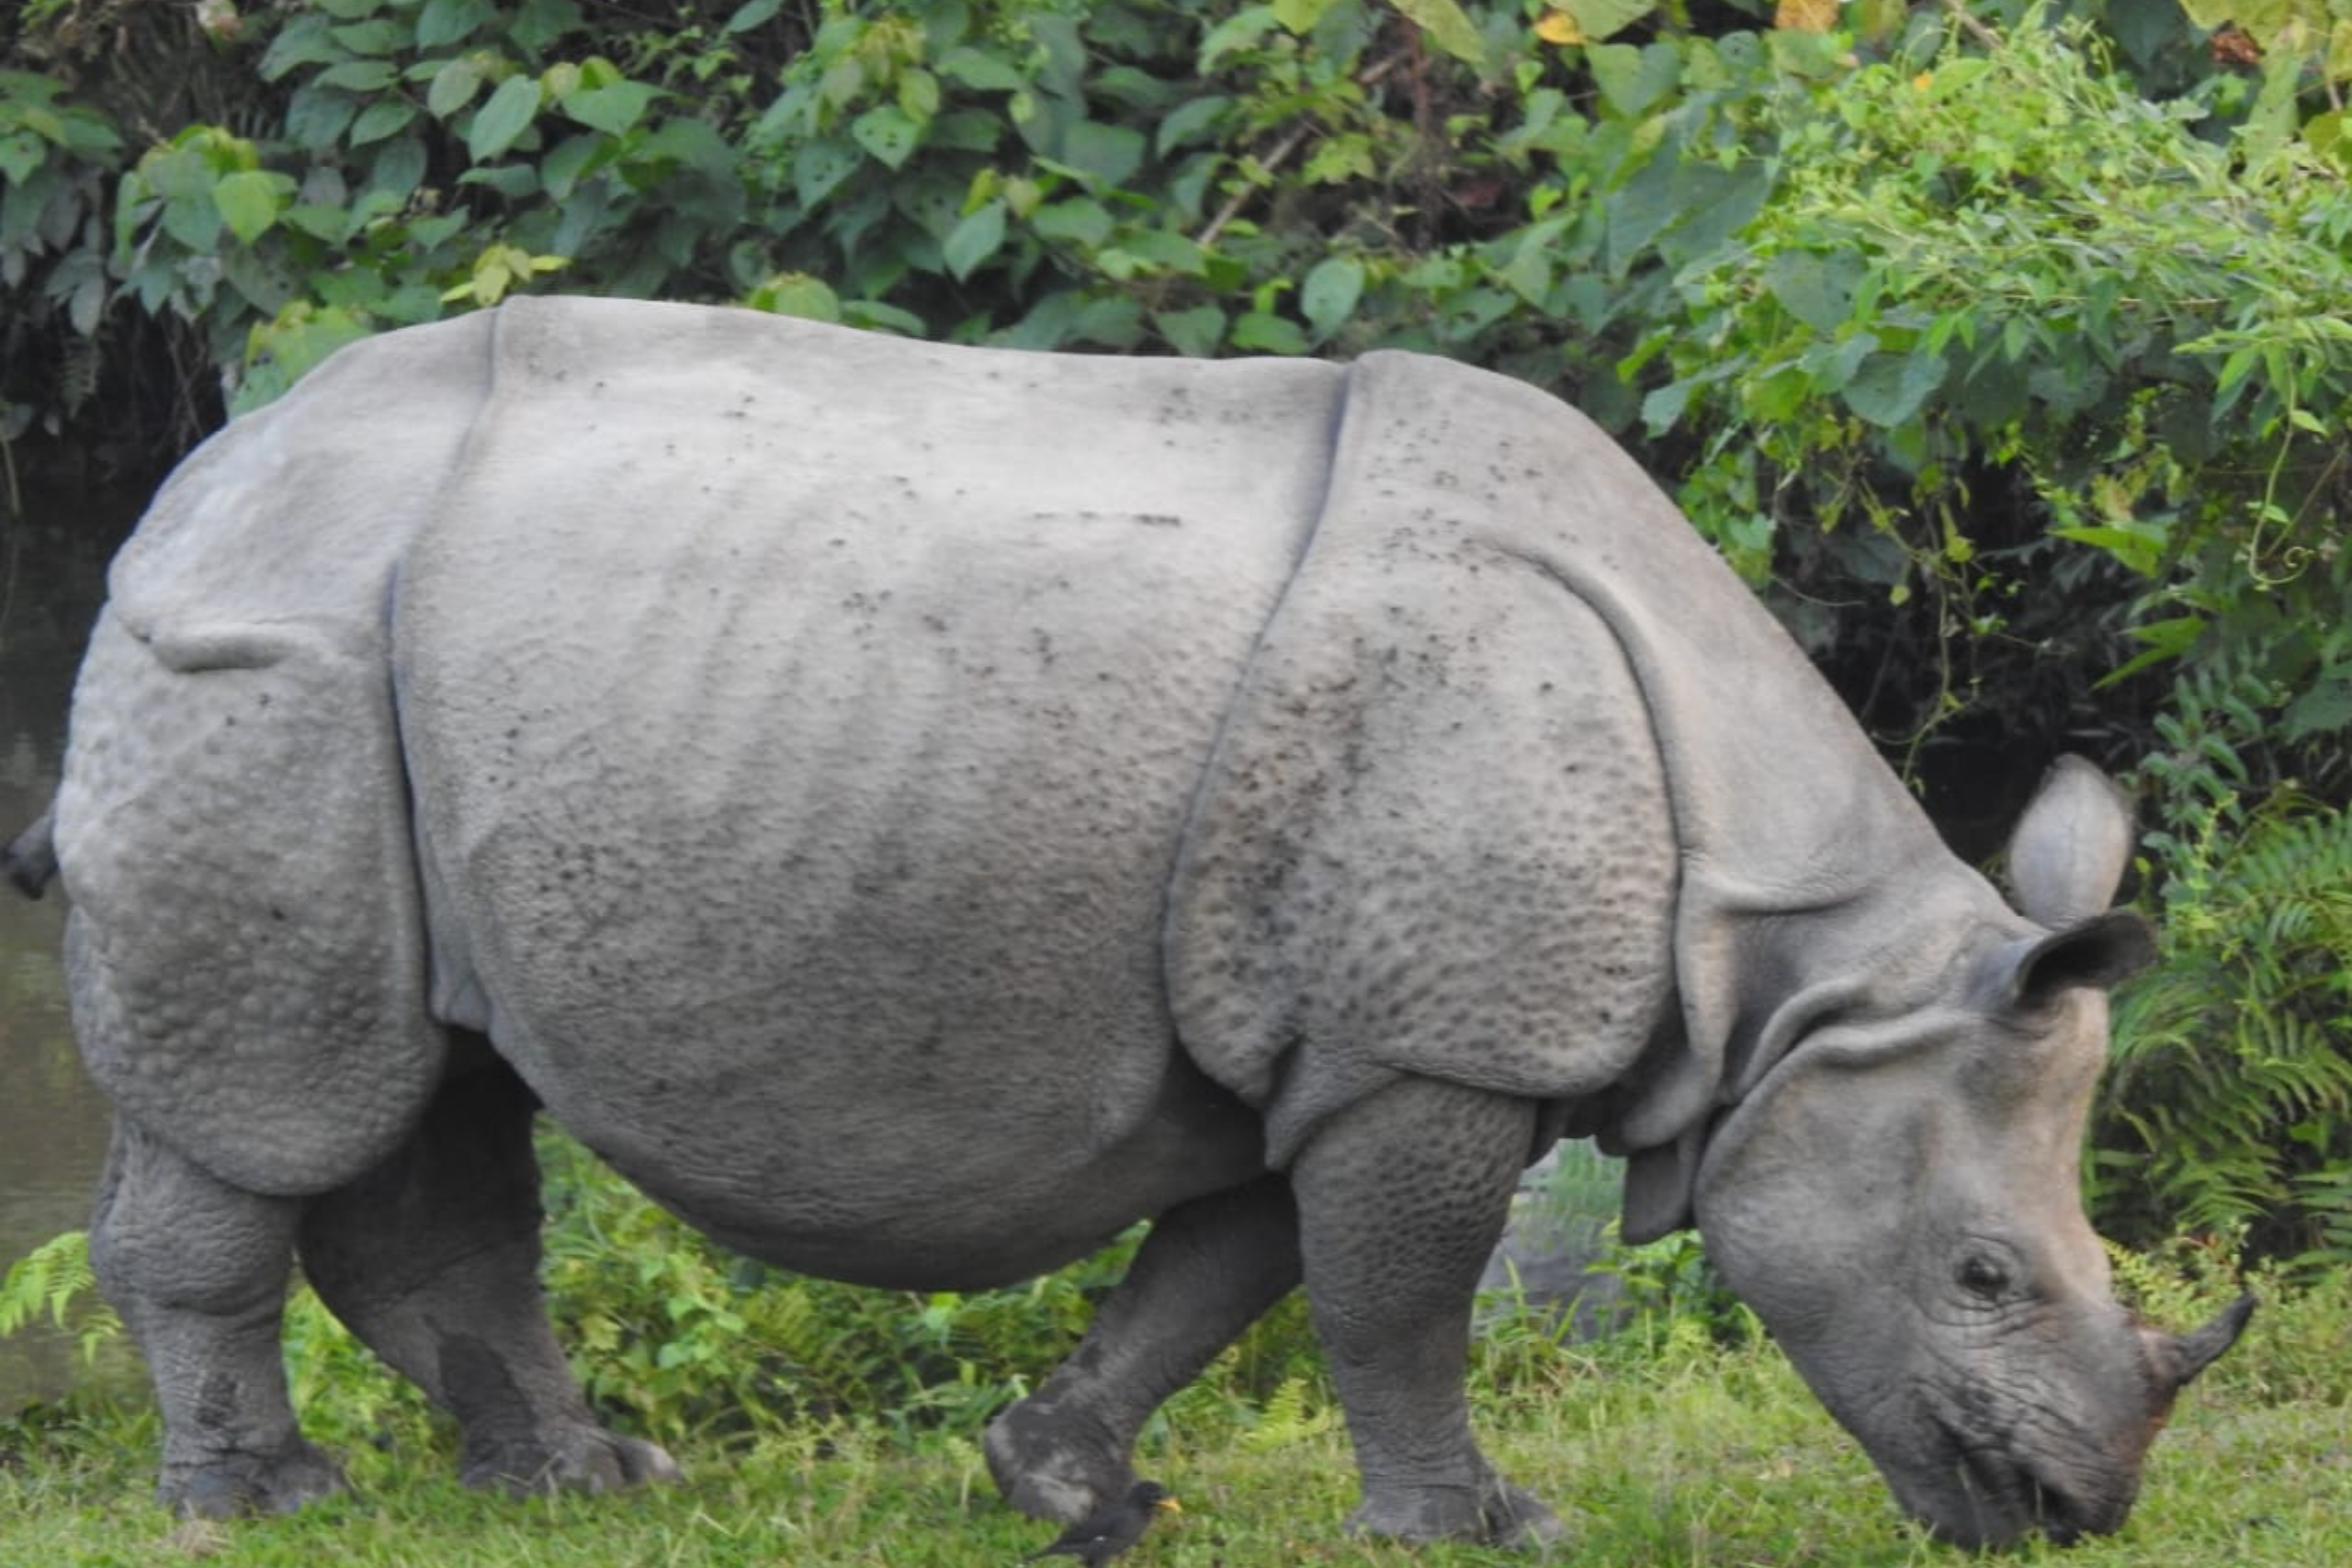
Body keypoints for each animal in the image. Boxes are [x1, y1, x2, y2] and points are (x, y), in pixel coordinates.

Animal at [5, 296, 2249, 1548]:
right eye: (1977, 1275)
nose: (2075, 1515)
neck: (1790, 973)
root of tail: (198, 476)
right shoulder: (1421, 1044)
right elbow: (1391, 1303)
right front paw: (1479, 1529)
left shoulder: (1324, 1034)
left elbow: (1221, 1272)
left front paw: (1065, 1486)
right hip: (270, 662)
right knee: (287, 1094)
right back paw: (260, 1505)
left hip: (400, 674)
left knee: (444, 1089)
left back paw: (582, 1482)